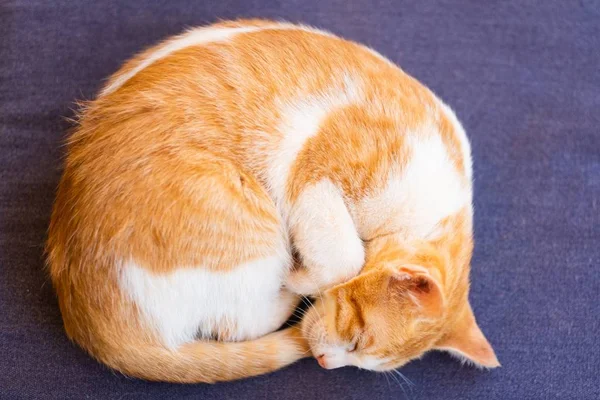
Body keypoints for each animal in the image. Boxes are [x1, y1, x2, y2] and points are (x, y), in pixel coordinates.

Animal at [45, 19, 496, 384]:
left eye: (363, 358)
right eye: (356, 336)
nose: (324, 363)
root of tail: (90, 321)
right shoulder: (315, 177)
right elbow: (345, 259)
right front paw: (303, 279)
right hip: (253, 232)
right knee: (238, 324)